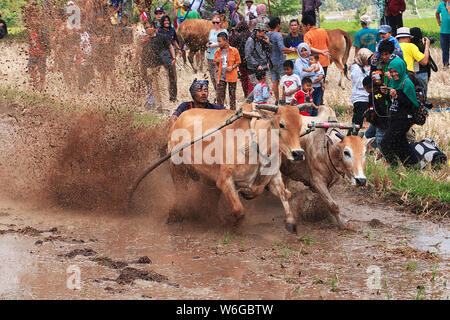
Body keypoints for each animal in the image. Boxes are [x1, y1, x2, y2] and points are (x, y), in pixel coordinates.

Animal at [169, 105, 306, 232]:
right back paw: (175, 215)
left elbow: (284, 194)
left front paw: (290, 222)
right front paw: (231, 224)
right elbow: (239, 210)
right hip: (176, 166)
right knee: (180, 189)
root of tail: (179, 119)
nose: (298, 153)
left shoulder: (273, 176)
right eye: (281, 124)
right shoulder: (224, 180)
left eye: (300, 125)